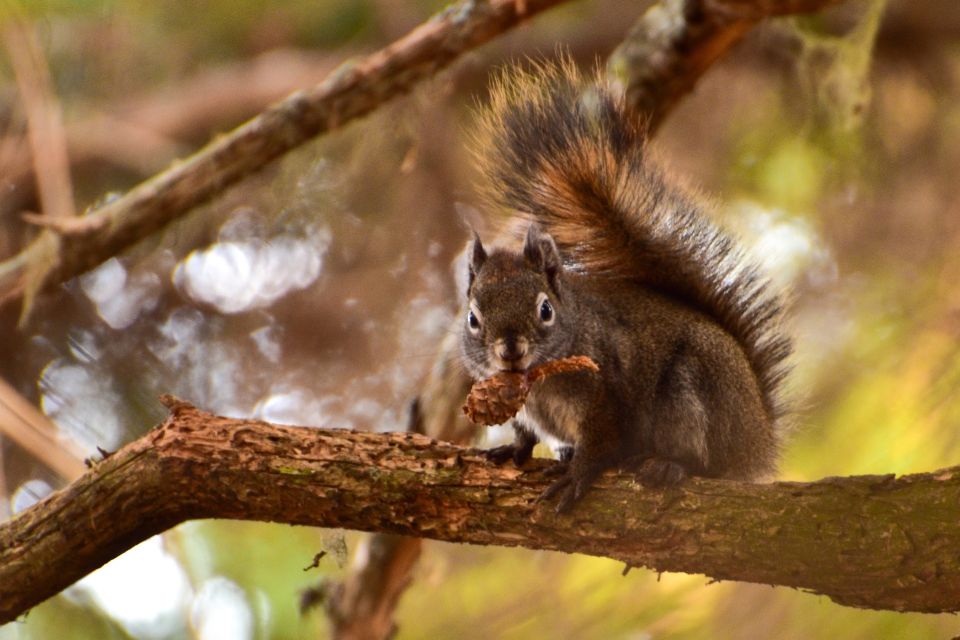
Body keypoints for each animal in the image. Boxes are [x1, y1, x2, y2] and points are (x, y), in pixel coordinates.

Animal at [462, 57, 792, 512]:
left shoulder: (605, 394)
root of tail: (757, 440)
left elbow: (600, 441)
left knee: (701, 460)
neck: (537, 382)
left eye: (545, 310)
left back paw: (666, 465)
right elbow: (525, 434)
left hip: (694, 392)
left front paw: (578, 474)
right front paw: (515, 449)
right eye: (473, 319)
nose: (510, 349)